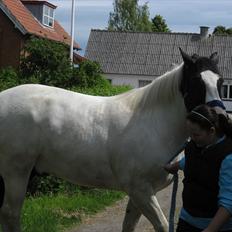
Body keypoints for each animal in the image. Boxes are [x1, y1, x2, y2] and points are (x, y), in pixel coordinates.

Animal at [0, 49, 223, 232]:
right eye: (196, 81)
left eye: (220, 82)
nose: (218, 119)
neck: (154, 124)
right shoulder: (140, 189)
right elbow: (162, 225)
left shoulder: (140, 193)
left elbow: (129, 225)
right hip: (16, 173)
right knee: (10, 215)